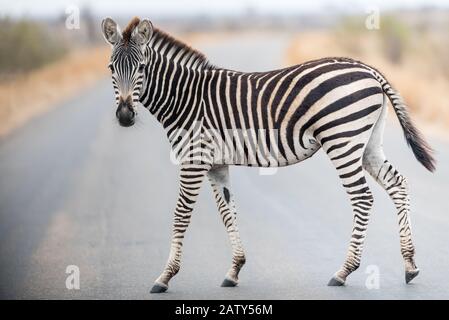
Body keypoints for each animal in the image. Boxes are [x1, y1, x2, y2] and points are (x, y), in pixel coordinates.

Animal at [100, 16, 434, 292]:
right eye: (111, 69)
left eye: (142, 68)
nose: (125, 116)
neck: (184, 97)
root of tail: (368, 68)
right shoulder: (216, 164)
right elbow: (227, 212)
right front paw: (234, 270)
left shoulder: (194, 160)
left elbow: (181, 214)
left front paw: (165, 276)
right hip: (368, 144)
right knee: (397, 184)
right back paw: (410, 265)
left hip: (342, 140)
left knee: (363, 198)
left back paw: (343, 271)